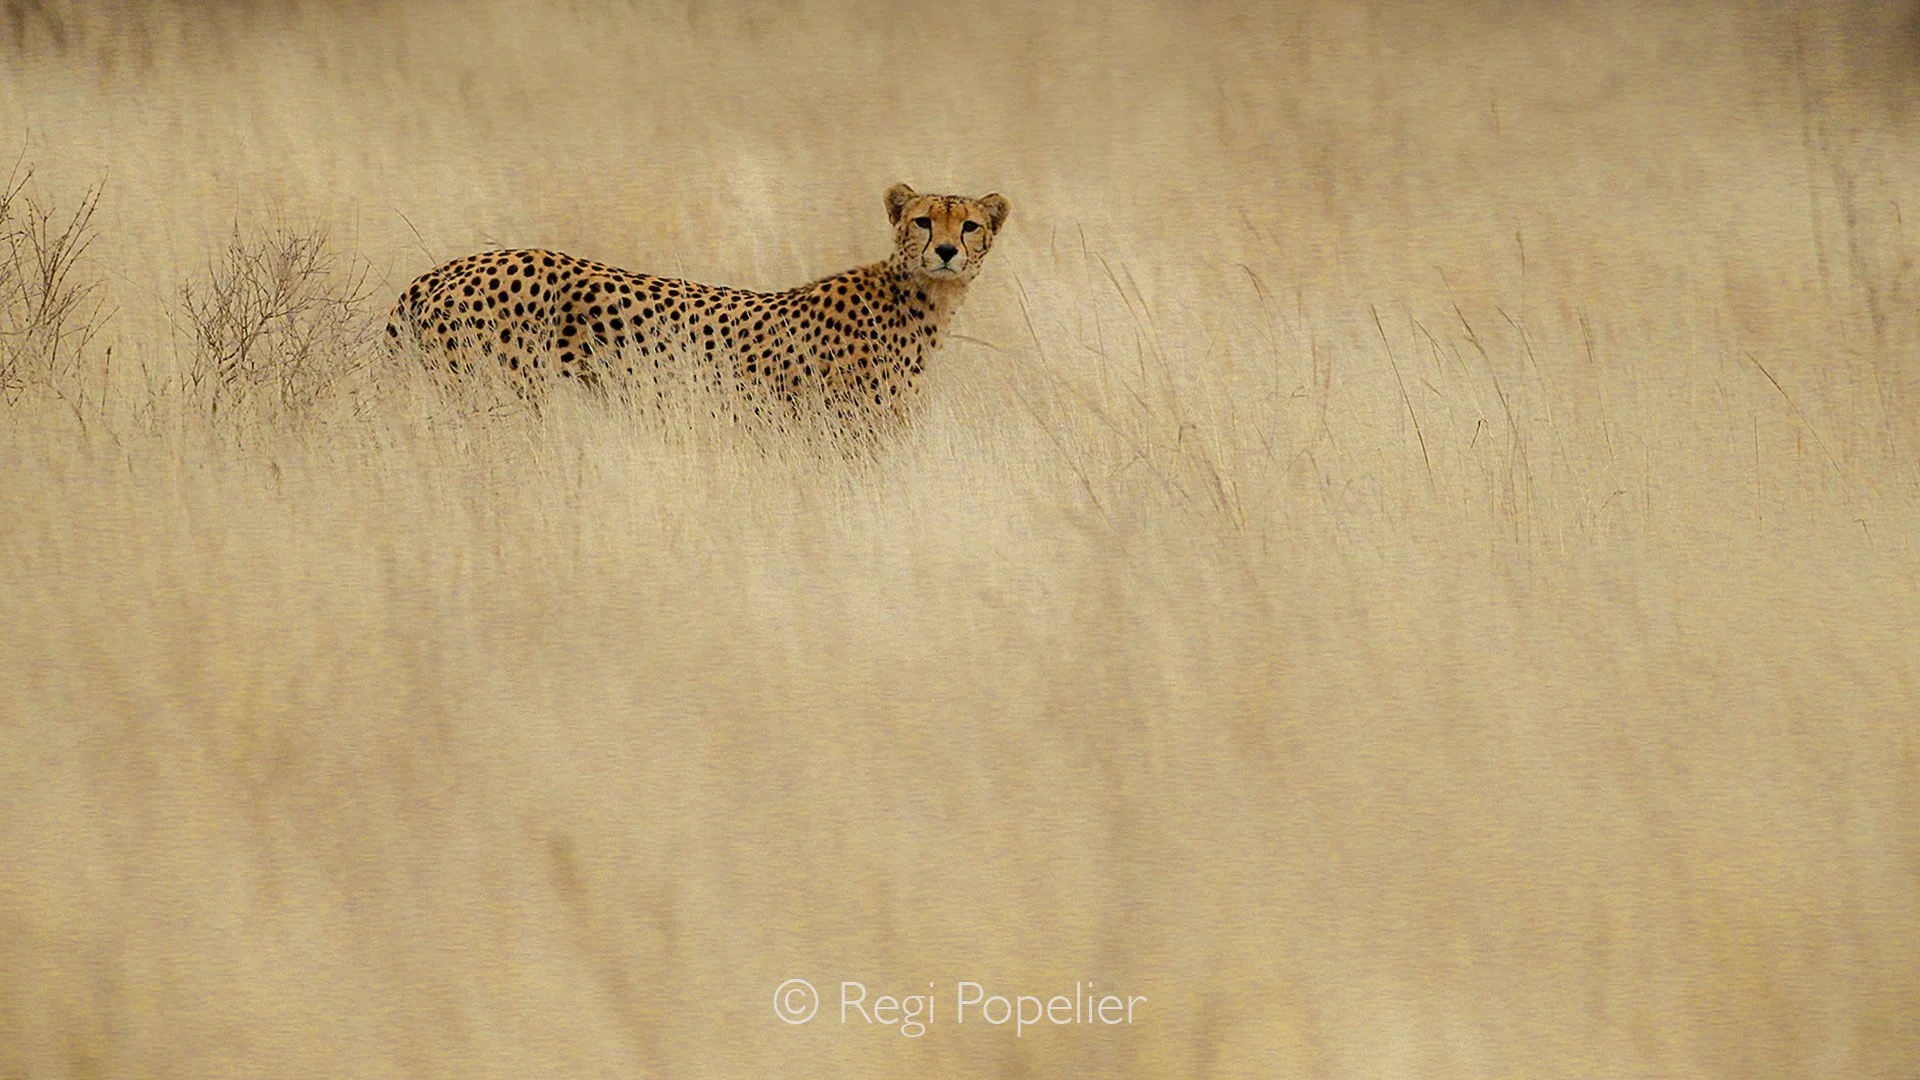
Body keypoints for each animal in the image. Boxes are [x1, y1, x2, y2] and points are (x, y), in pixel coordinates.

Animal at [386, 183, 1010, 428]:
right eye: (923, 220)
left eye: (970, 225)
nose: (947, 251)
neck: (923, 301)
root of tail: (445, 269)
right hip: (500, 399)